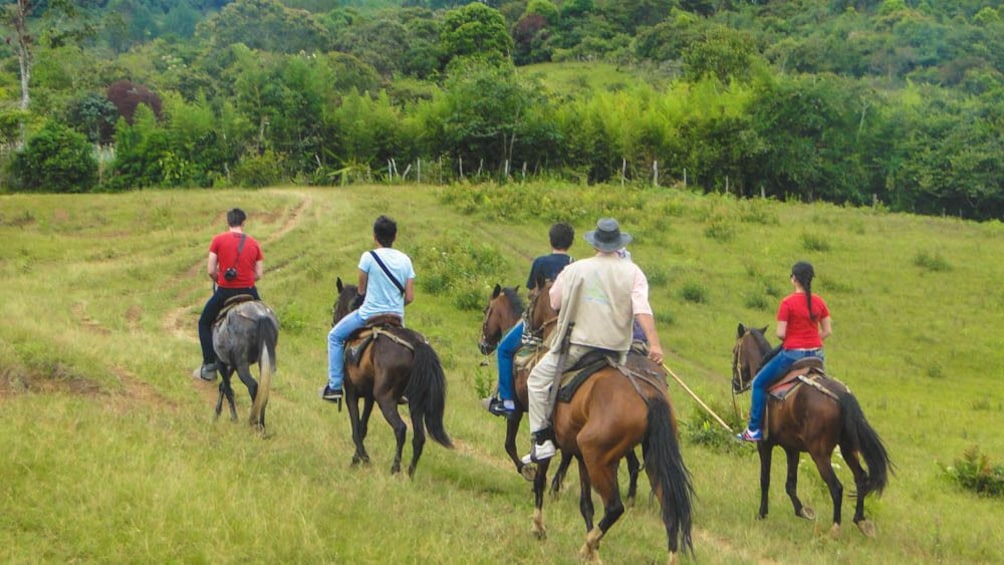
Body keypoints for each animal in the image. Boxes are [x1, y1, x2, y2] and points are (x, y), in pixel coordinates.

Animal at [331, 278, 453, 477]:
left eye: (335, 304)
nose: (333, 322)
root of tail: (416, 343)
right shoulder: (370, 397)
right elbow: (363, 427)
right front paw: (357, 459)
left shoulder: (352, 393)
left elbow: (356, 428)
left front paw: (362, 459)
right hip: (415, 403)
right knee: (419, 437)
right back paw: (410, 474)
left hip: (385, 398)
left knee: (400, 428)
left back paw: (395, 469)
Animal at [526, 278, 690, 561]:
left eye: (533, 298)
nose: (526, 326)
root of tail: (649, 395)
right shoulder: (580, 457)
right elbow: (586, 505)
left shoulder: (557, 445)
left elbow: (540, 480)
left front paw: (538, 527)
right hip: (646, 460)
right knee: (669, 511)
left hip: (597, 457)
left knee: (614, 507)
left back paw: (587, 545)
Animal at [734, 325, 891, 537]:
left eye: (734, 351)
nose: (735, 384)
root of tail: (841, 395)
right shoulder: (792, 449)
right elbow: (790, 484)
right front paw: (803, 511)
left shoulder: (764, 444)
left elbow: (765, 479)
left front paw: (762, 513)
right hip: (849, 449)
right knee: (861, 478)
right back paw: (861, 520)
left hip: (820, 454)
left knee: (836, 487)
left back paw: (835, 527)